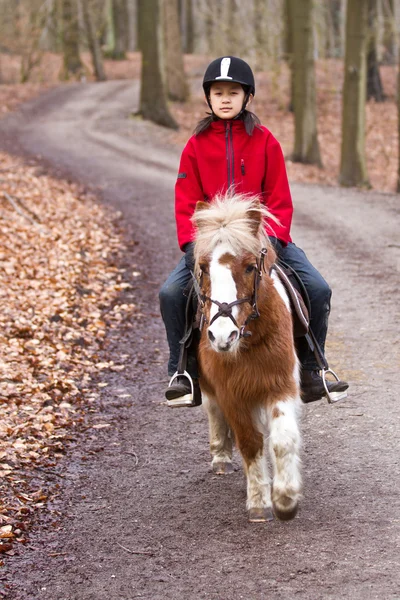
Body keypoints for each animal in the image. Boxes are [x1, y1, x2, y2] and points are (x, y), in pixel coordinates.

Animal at [192, 192, 302, 520]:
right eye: (204, 267)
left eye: (251, 266)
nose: (222, 336)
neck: (249, 343)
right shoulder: (232, 394)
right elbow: (250, 443)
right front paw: (259, 503)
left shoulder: (280, 385)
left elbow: (282, 439)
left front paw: (285, 498)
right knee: (213, 411)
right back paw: (220, 455)